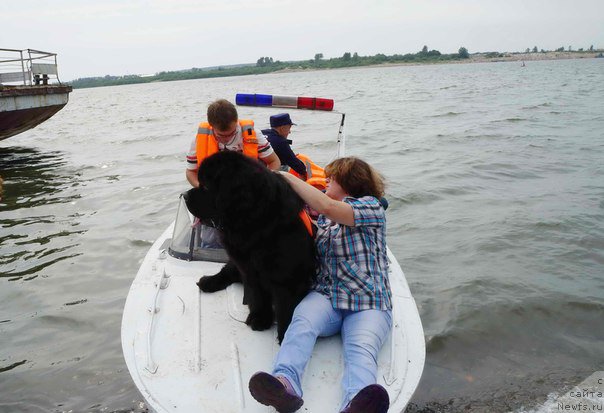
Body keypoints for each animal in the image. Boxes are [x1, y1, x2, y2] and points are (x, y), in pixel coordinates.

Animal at [184, 150, 316, 342]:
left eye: (206, 187)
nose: (185, 196)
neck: (254, 223)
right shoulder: (248, 266)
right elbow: (257, 294)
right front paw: (259, 318)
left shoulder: (287, 276)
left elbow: (286, 308)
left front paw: (285, 334)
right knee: (227, 272)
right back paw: (208, 282)